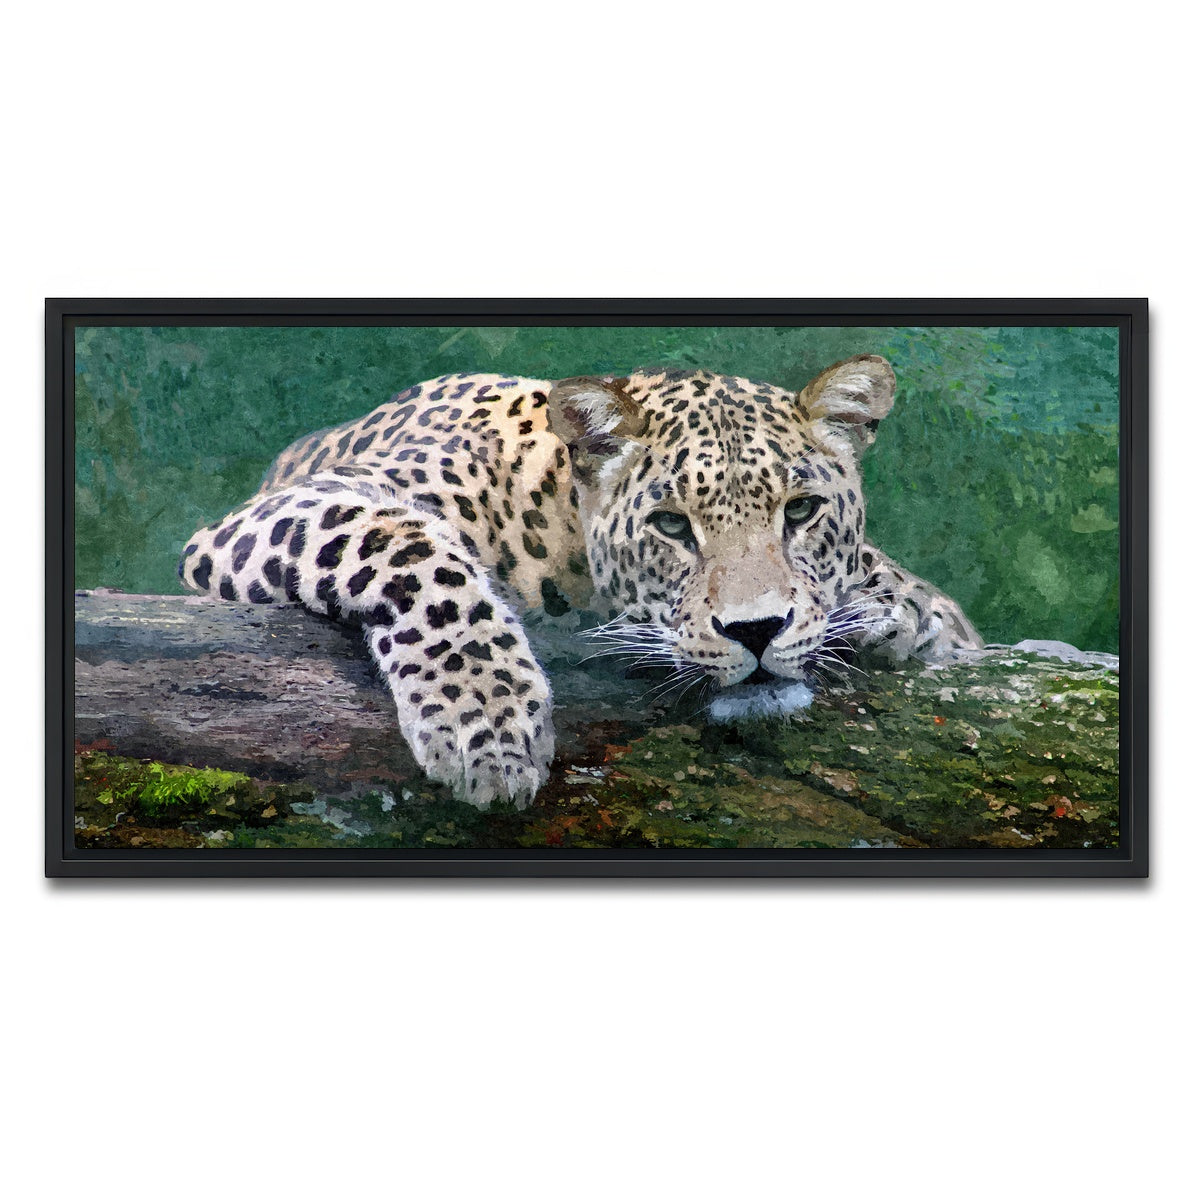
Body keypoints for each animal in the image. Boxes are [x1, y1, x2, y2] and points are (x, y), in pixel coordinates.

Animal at [180, 354, 982, 808]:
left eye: (803, 511)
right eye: (671, 525)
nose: (755, 631)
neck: (556, 523)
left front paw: (901, 612)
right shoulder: (292, 508)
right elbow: (414, 552)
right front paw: (487, 726)